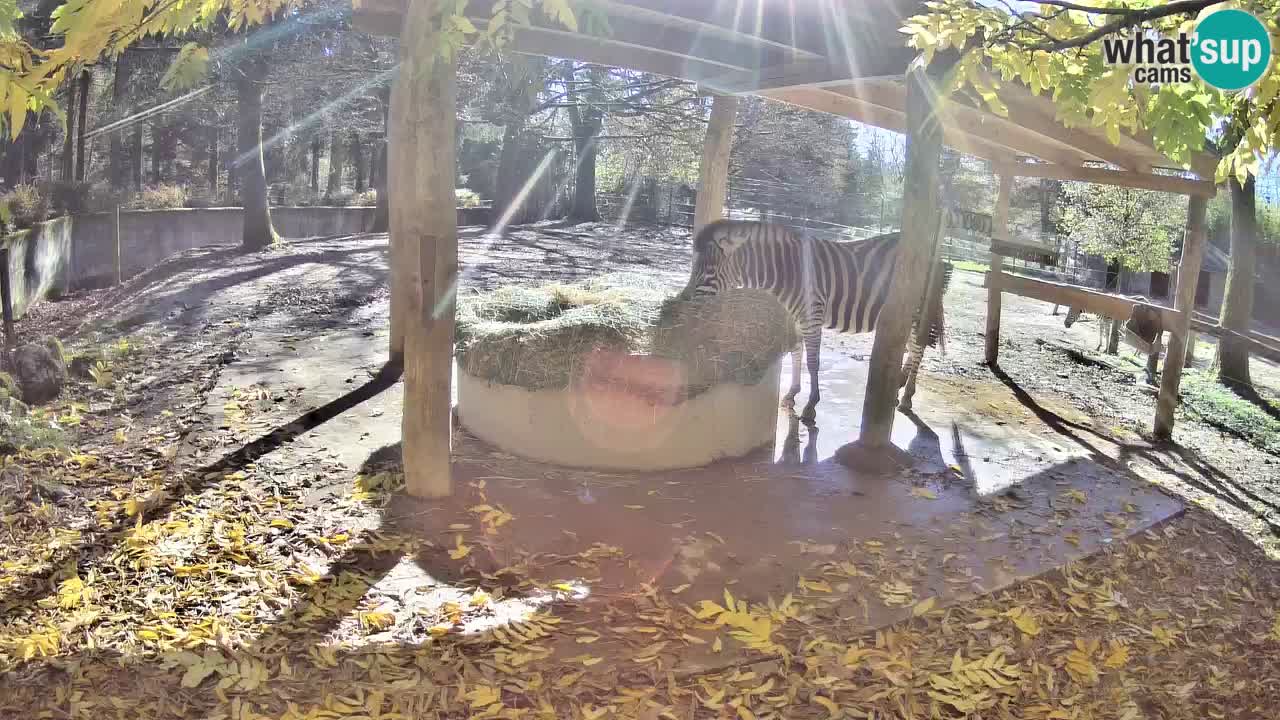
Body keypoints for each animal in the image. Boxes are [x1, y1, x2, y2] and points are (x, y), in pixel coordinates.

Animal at [678, 219, 952, 422]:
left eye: (707, 270)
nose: (683, 302)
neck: (787, 271)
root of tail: (934, 254)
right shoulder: (795, 317)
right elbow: (795, 353)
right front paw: (791, 394)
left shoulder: (812, 316)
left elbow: (812, 362)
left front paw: (810, 406)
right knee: (910, 347)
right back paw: (897, 387)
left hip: (919, 310)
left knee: (917, 348)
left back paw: (906, 398)